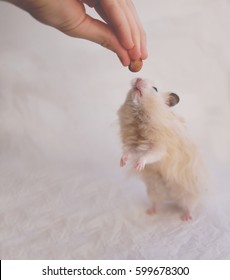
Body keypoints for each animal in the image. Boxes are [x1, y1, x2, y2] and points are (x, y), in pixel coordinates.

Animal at [117, 78, 202, 221]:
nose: (138, 78)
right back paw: (150, 212)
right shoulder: (134, 144)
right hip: (153, 192)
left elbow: (150, 155)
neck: (139, 118)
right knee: (156, 203)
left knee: (189, 207)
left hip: (190, 196)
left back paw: (186, 218)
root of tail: (172, 197)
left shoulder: (160, 147)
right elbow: (128, 151)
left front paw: (138, 166)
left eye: (155, 89)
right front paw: (122, 163)